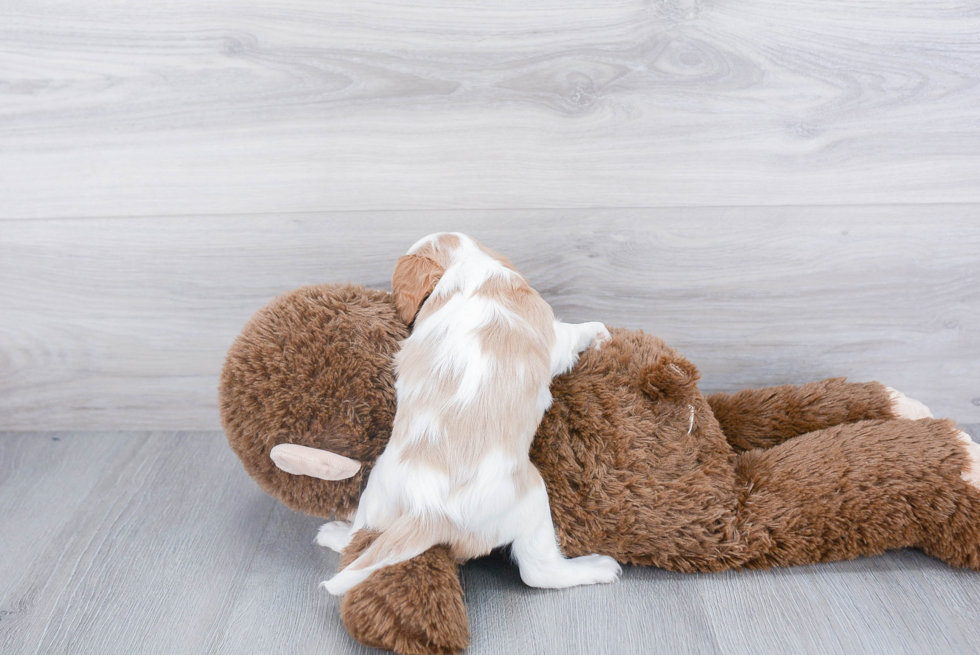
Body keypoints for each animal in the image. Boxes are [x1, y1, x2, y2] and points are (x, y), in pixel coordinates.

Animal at [318, 232, 620, 596]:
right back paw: (597, 567)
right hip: (532, 497)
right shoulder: (552, 336)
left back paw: (334, 533)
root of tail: (428, 513)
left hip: (377, 491)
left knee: (359, 538)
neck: (468, 266)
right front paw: (597, 332)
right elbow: (571, 335)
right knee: (538, 571)